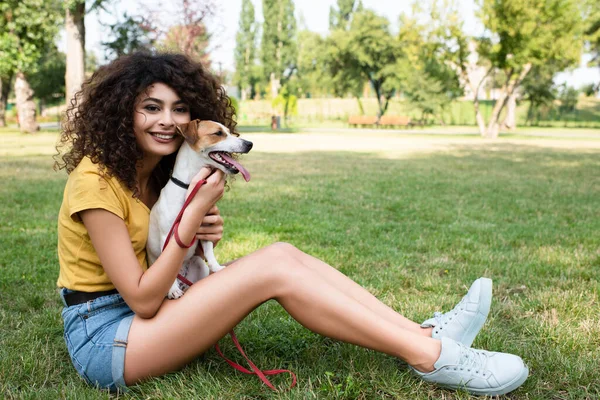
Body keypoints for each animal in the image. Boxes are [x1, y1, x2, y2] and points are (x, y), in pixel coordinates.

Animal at [149, 120, 254, 298]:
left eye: (228, 131)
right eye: (218, 133)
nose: (249, 143)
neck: (189, 189)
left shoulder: (205, 227)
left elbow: (209, 251)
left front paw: (217, 267)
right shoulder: (166, 236)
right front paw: (173, 289)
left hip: (198, 264)